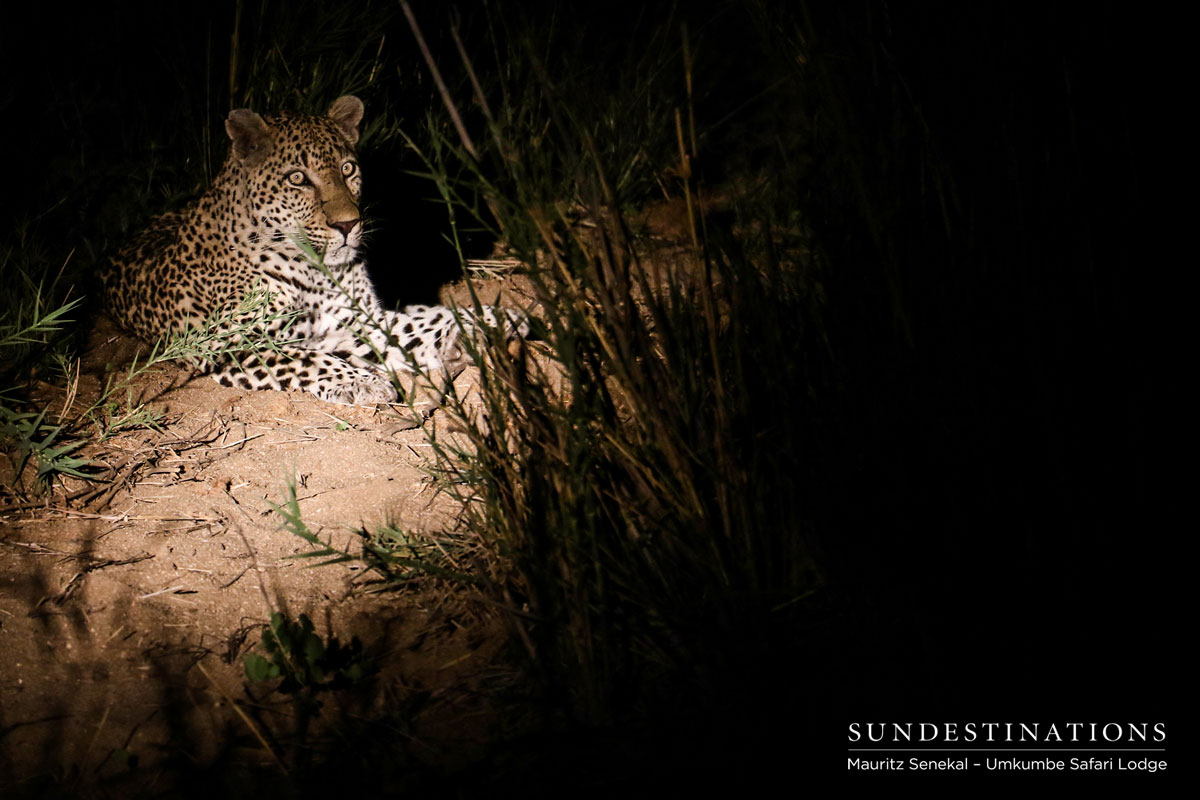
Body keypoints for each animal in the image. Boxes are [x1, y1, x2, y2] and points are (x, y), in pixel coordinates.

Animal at [100, 95, 526, 406]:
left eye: (348, 169)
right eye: (297, 178)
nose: (348, 224)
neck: (317, 271)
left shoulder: (355, 321)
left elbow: (416, 325)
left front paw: (492, 318)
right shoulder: (236, 343)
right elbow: (306, 358)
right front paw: (362, 381)